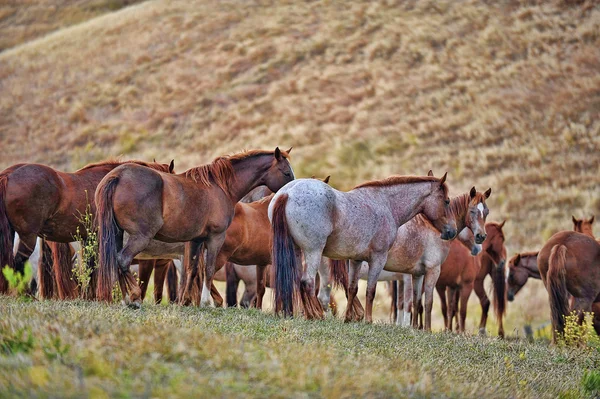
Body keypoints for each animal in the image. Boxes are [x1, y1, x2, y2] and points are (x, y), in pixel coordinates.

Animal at [0, 160, 173, 300]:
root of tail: (9, 175)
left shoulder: (89, 239)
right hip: (28, 237)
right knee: (18, 263)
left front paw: (90, 296)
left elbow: (91, 268)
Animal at [94, 148, 296, 308]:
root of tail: (118, 176)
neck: (220, 186)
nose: (291, 189)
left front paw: (186, 301)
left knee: (116, 261)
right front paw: (206, 302)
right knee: (123, 259)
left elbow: (192, 270)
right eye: (286, 172)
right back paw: (134, 297)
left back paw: (127, 298)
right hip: (141, 237)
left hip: (118, 234)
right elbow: (208, 268)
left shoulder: (195, 240)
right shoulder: (215, 238)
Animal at [270, 173, 458, 324]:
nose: (452, 231)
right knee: (307, 282)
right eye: (446, 201)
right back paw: (316, 315)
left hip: (297, 251)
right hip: (313, 252)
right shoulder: (378, 258)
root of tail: (287, 193)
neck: (386, 204)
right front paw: (367, 320)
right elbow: (370, 290)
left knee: (298, 281)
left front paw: (348, 318)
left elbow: (352, 289)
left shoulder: (356, 260)